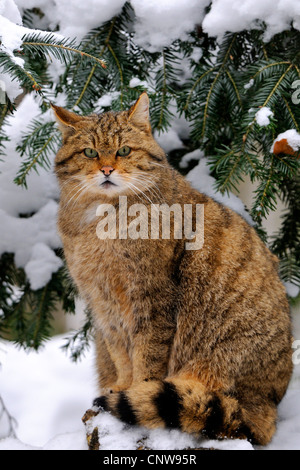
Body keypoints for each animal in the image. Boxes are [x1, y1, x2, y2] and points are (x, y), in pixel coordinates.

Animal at [52, 92, 292, 448]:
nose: (107, 168)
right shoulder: (103, 303)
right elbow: (120, 354)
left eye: (124, 150)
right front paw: (121, 386)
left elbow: (147, 356)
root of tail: (268, 405)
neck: (102, 224)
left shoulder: (153, 298)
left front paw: (137, 390)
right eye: (90, 152)